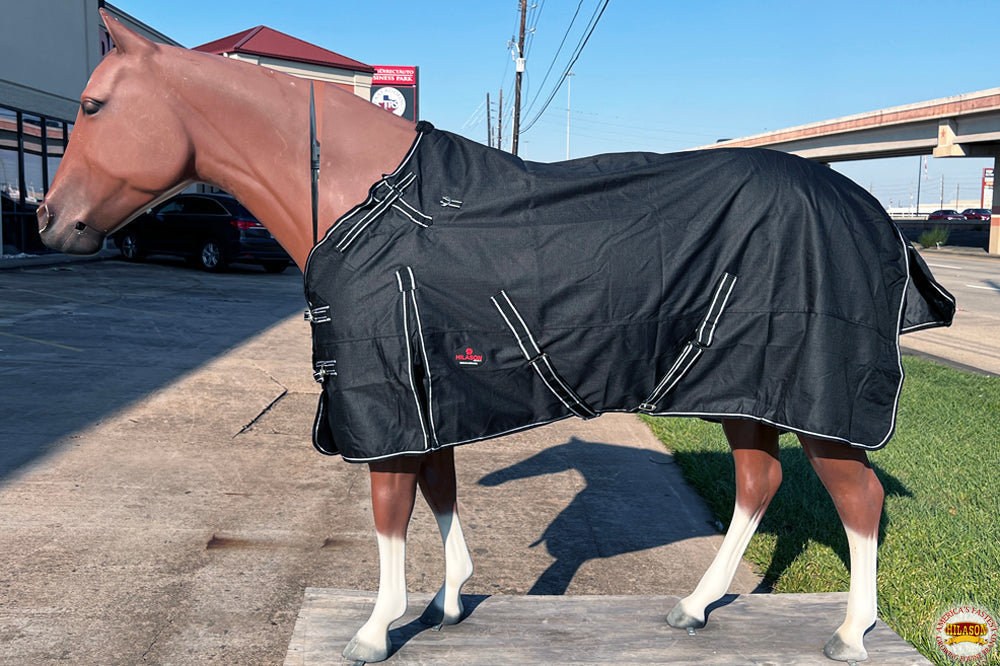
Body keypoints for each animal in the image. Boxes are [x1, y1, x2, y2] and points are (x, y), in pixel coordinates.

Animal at [39, 11, 953, 663]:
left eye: (92, 105)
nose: (50, 220)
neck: (361, 193)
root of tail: (871, 210)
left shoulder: (386, 397)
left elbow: (390, 508)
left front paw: (374, 631)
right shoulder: (431, 392)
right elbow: (439, 490)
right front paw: (448, 604)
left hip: (814, 397)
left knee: (858, 501)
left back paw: (848, 634)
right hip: (747, 386)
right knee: (760, 484)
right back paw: (694, 608)